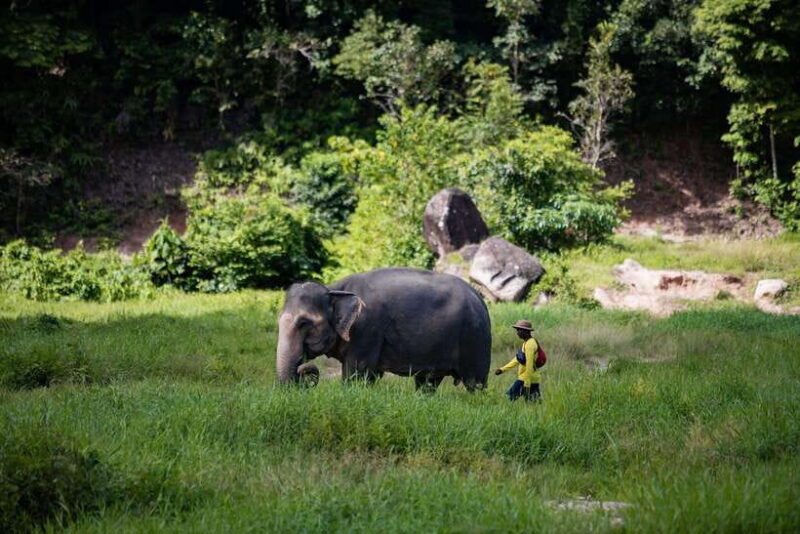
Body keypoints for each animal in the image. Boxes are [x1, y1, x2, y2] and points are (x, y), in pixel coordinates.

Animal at [276, 267, 491, 391]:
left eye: (304, 323)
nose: (303, 371)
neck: (334, 289)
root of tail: (479, 296)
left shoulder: (366, 330)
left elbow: (357, 374)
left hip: (475, 339)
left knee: (475, 384)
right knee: (428, 382)